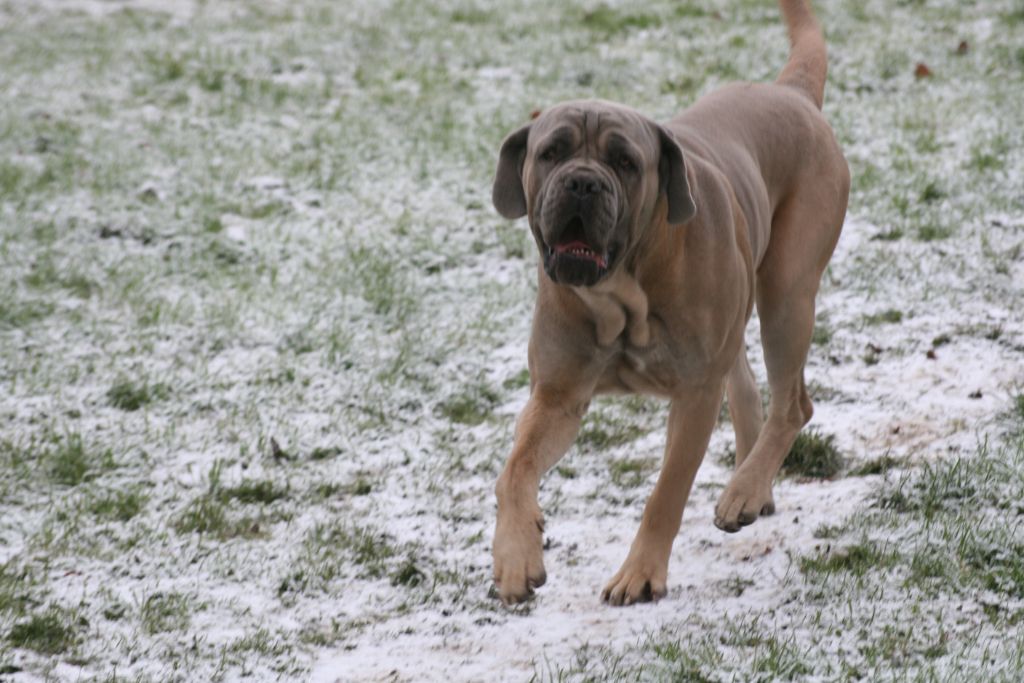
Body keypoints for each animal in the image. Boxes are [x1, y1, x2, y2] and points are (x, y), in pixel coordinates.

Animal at [487, 0, 847, 610]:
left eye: (625, 161)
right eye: (551, 152)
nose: (582, 183)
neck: (622, 293)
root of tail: (792, 93)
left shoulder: (694, 394)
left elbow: (665, 492)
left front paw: (640, 574)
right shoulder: (557, 394)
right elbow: (514, 468)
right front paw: (517, 556)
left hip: (788, 294)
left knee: (793, 402)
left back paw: (744, 489)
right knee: (748, 387)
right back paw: (752, 486)